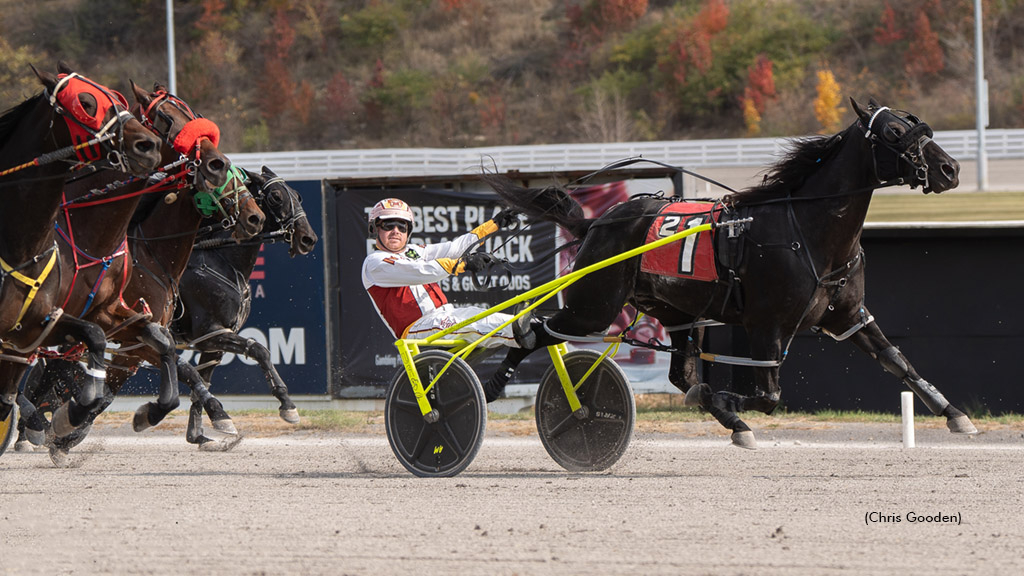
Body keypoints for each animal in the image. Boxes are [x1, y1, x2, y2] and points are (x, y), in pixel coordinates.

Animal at [172, 166, 317, 444]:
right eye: (275, 197)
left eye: (297, 195)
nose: (308, 238)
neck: (218, 259)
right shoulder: (211, 332)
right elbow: (260, 350)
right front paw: (287, 404)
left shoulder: (215, 339)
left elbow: (202, 381)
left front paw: (200, 432)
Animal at [485, 99, 974, 448]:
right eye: (894, 131)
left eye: (917, 123)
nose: (950, 169)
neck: (807, 230)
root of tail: (597, 222)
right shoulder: (767, 325)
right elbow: (769, 396)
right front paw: (726, 401)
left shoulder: (847, 316)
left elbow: (898, 361)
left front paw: (954, 414)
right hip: (594, 305)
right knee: (533, 330)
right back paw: (491, 385)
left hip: (677, 313)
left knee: (680, 375)